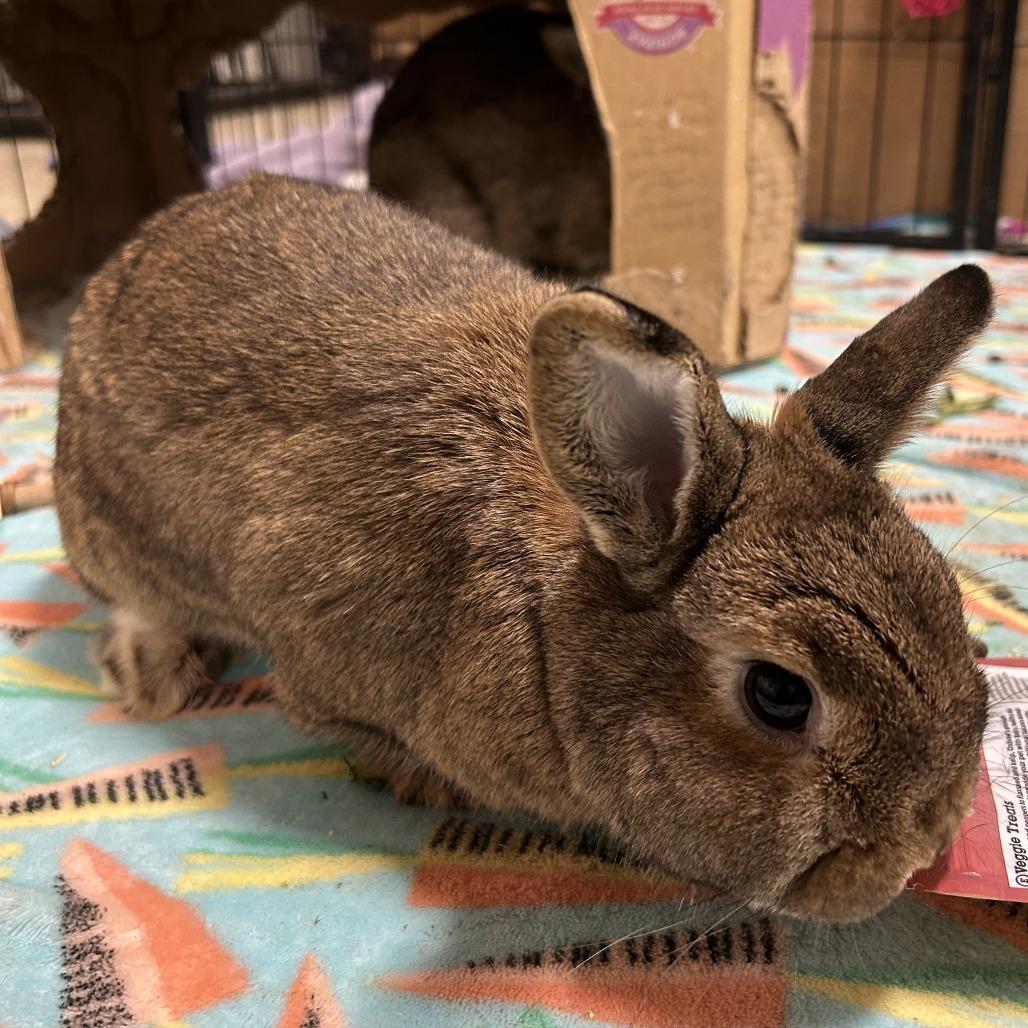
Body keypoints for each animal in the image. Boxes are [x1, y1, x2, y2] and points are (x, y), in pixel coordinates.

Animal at [55, 174, 993, 923]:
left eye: (951, 602)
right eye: (779, 695)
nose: (923, 850)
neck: (553, 628)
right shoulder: (318, 673)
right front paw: (422, 783)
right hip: (110, 538)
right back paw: (154, 672)